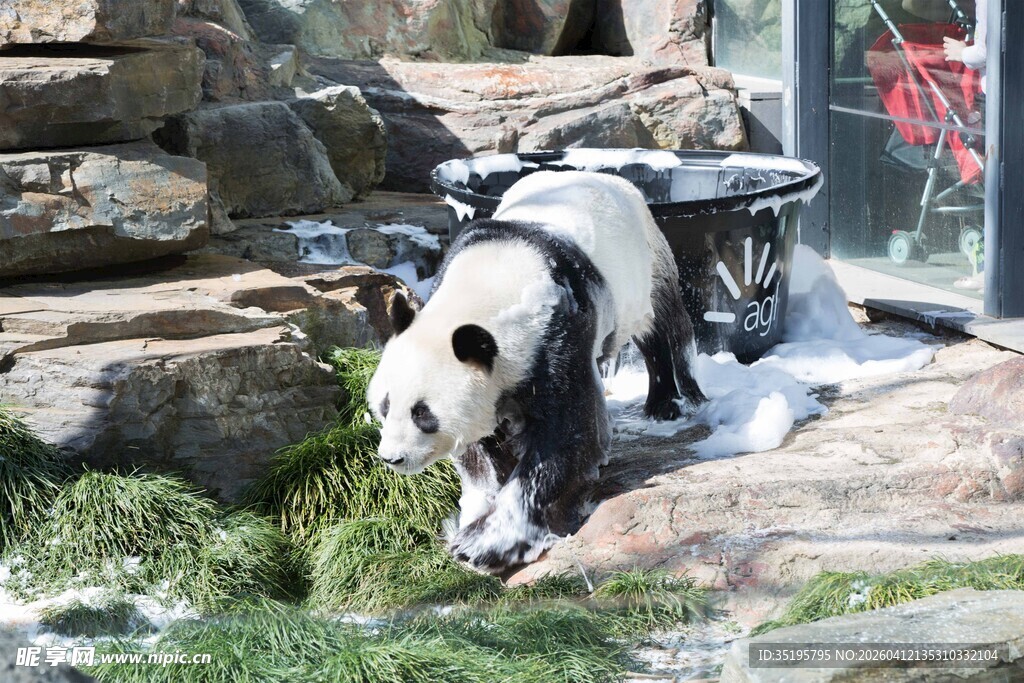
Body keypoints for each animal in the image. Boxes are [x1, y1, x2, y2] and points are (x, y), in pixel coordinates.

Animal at [366, 170, 706, 573]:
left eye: (423, 414)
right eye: (385, 406)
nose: (392, 458)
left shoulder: (559, 330)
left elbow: (563, 439)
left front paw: (483, 546)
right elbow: (479, 453)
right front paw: (476, 511)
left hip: (647, 260)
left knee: (663, 328)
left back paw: (668, 403)